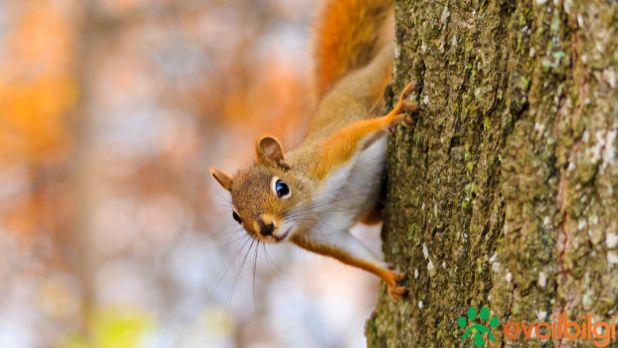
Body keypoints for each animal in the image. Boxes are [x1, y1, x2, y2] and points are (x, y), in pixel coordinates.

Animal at [209, 0, 416, 300]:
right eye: (236, 216)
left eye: (281, 187)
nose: (266, 228)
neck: (312, 207)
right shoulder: (320, 237)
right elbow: (356, 257)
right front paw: (388, 277)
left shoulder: (326, 158)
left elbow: (354, 135)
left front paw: (392, 116)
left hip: (372, 82)